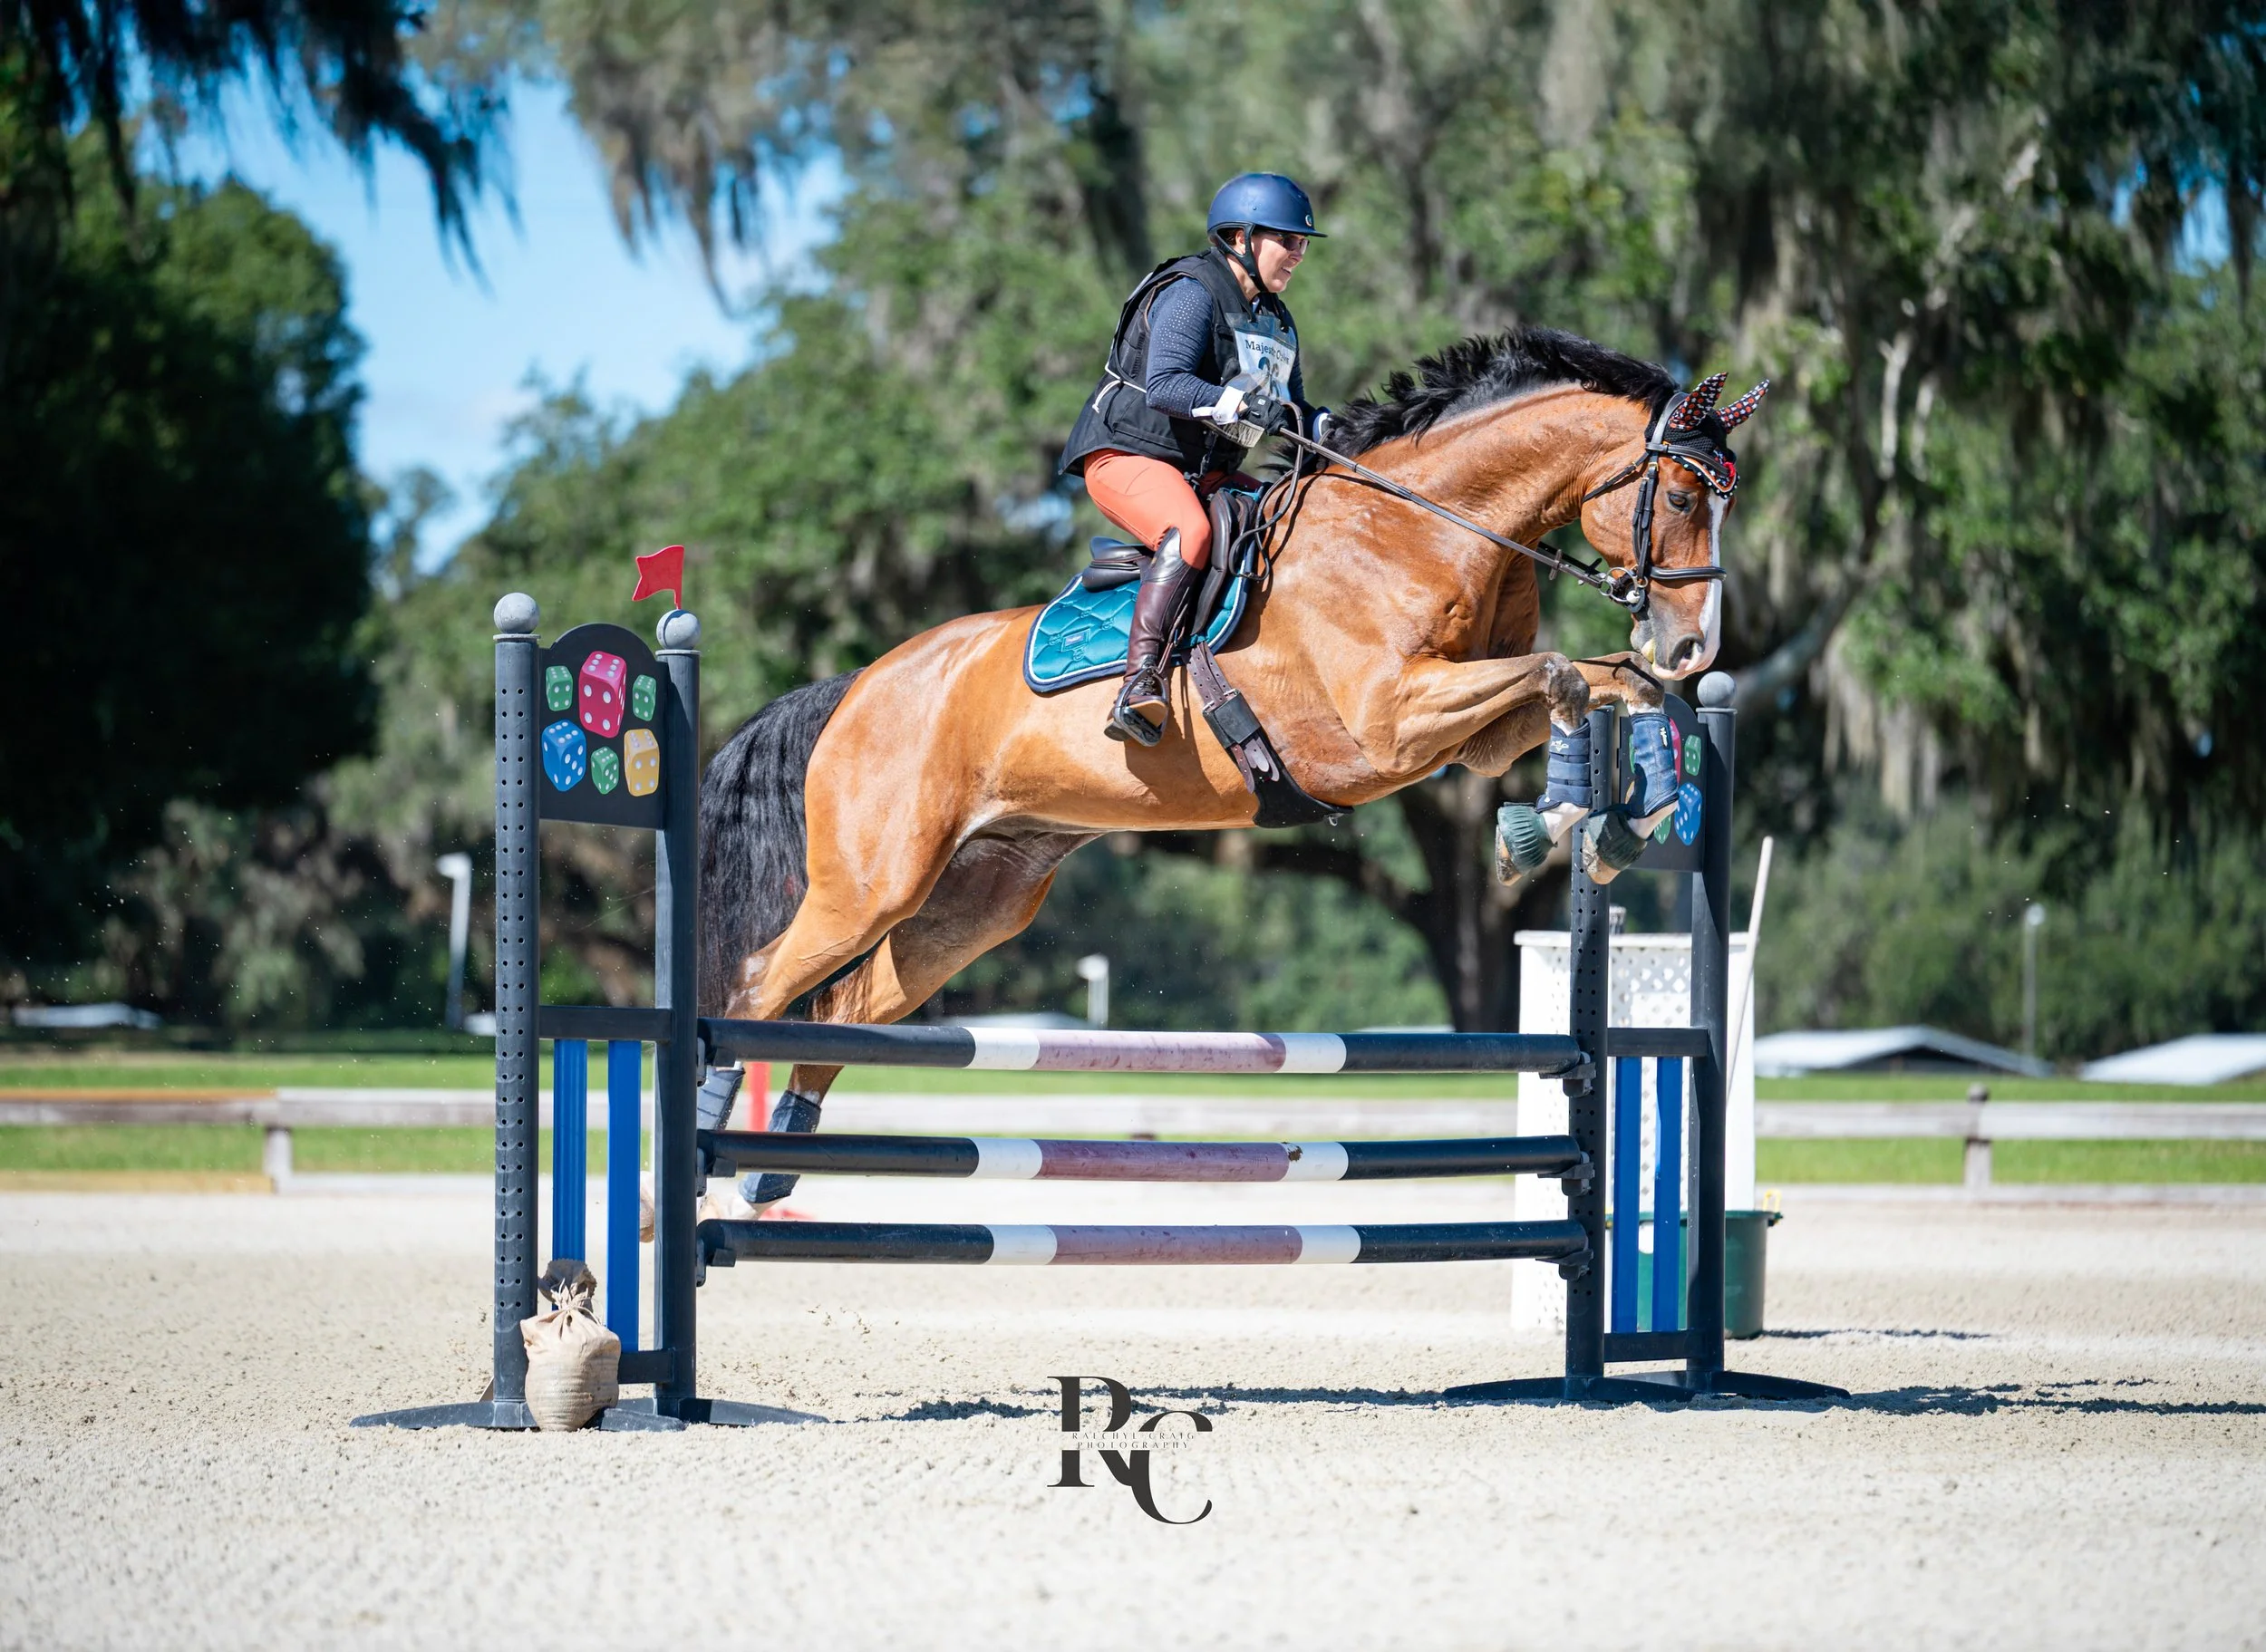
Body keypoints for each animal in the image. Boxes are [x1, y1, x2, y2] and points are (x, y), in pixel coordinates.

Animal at [698, 326, 1765, 1131]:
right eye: (1679, 496)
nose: (1695, 645)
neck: (1416, 529)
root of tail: (858, 686)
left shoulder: (1470, 736)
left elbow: (1604, 682)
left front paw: (1609, 821)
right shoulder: (1389, 725)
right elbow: (1564, 675)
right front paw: (1551, 826)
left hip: (975, 897)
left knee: (846, 1005)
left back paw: (777, 1157)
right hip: (872, 882)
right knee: (757, 986)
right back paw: (712, 1129)